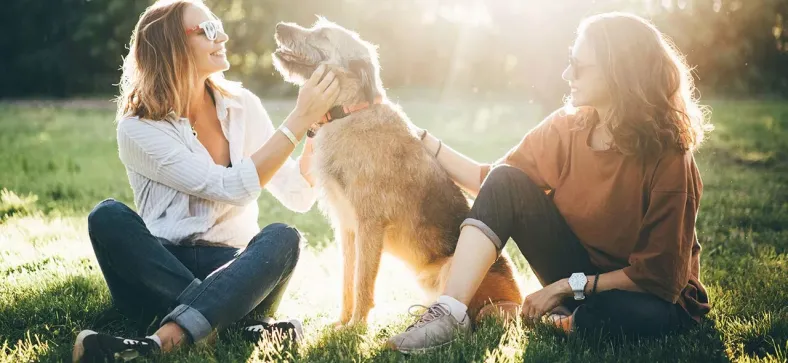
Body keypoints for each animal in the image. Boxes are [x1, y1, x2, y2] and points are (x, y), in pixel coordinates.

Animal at [272, 17, 524, 328]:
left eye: (323, 35)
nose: (279, 26)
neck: (350, 112)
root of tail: (519, 300)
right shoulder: (347, 227)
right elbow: (347, 280)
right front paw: (341, 323)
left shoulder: (370, 224)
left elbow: (362, 282)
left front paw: (355, 327)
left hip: (455, 272)